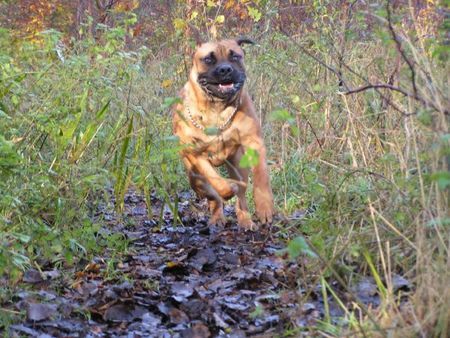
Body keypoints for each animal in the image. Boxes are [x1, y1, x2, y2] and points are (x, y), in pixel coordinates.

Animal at [172, 38, 272, 231]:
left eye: (235, 56)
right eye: (208, 59)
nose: (225, 69)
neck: (216, 108)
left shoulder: (254, 142)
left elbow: (261, 175)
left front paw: (265, 207)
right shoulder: (195, 152)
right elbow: (213, 178)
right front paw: (226, 190)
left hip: (238, 165)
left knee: (241, 196)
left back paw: (245, 220)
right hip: (193, 175)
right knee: (210, 193)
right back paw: (217, 215)